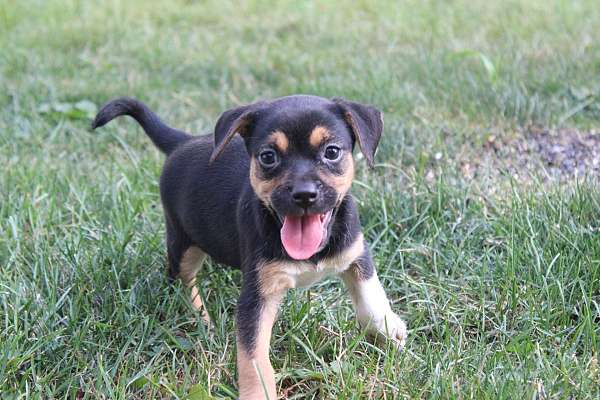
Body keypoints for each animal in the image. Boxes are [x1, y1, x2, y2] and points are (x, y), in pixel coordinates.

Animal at [91, 96, 408, 400]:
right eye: (268, 157)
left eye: (331, 152)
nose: (304, 195)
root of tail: (182, 142)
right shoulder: (256, 299)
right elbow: (254, 358)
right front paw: (258, 394)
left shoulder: (356, 251)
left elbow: (371, 293)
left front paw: (387, 327)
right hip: (183, 243)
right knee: (181, 279)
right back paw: (200, 318)